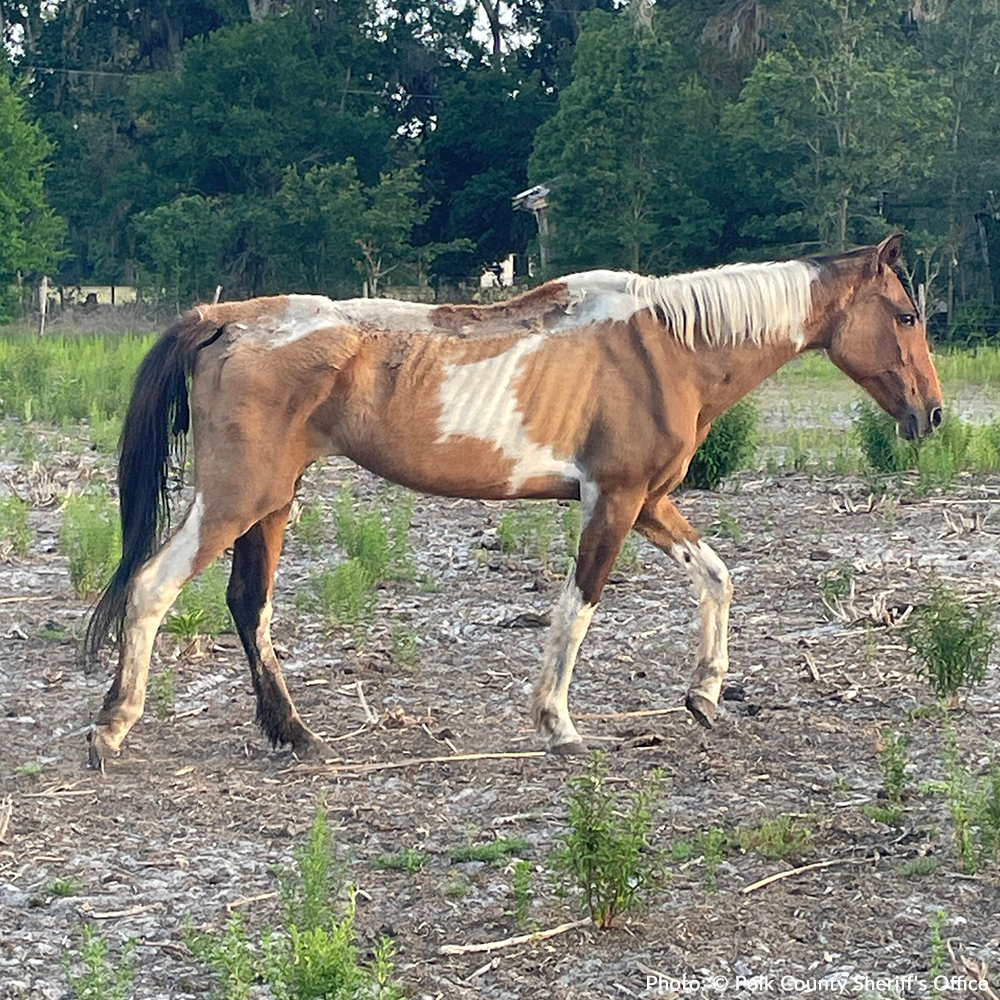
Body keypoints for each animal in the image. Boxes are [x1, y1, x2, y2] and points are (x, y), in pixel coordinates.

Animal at [84, 233, 942, 768]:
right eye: (906, 314)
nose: (932, 414)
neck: (666, 347)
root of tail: (224, 319)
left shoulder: (649, 502)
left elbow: (716, 578)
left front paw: (705, 696)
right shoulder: (615, 502)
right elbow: (578, 609)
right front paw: (558, 725)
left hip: (271, 503)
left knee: (247, 605)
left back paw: (295, 735)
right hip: (236, 499)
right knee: (153, 587)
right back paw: (113, 728)